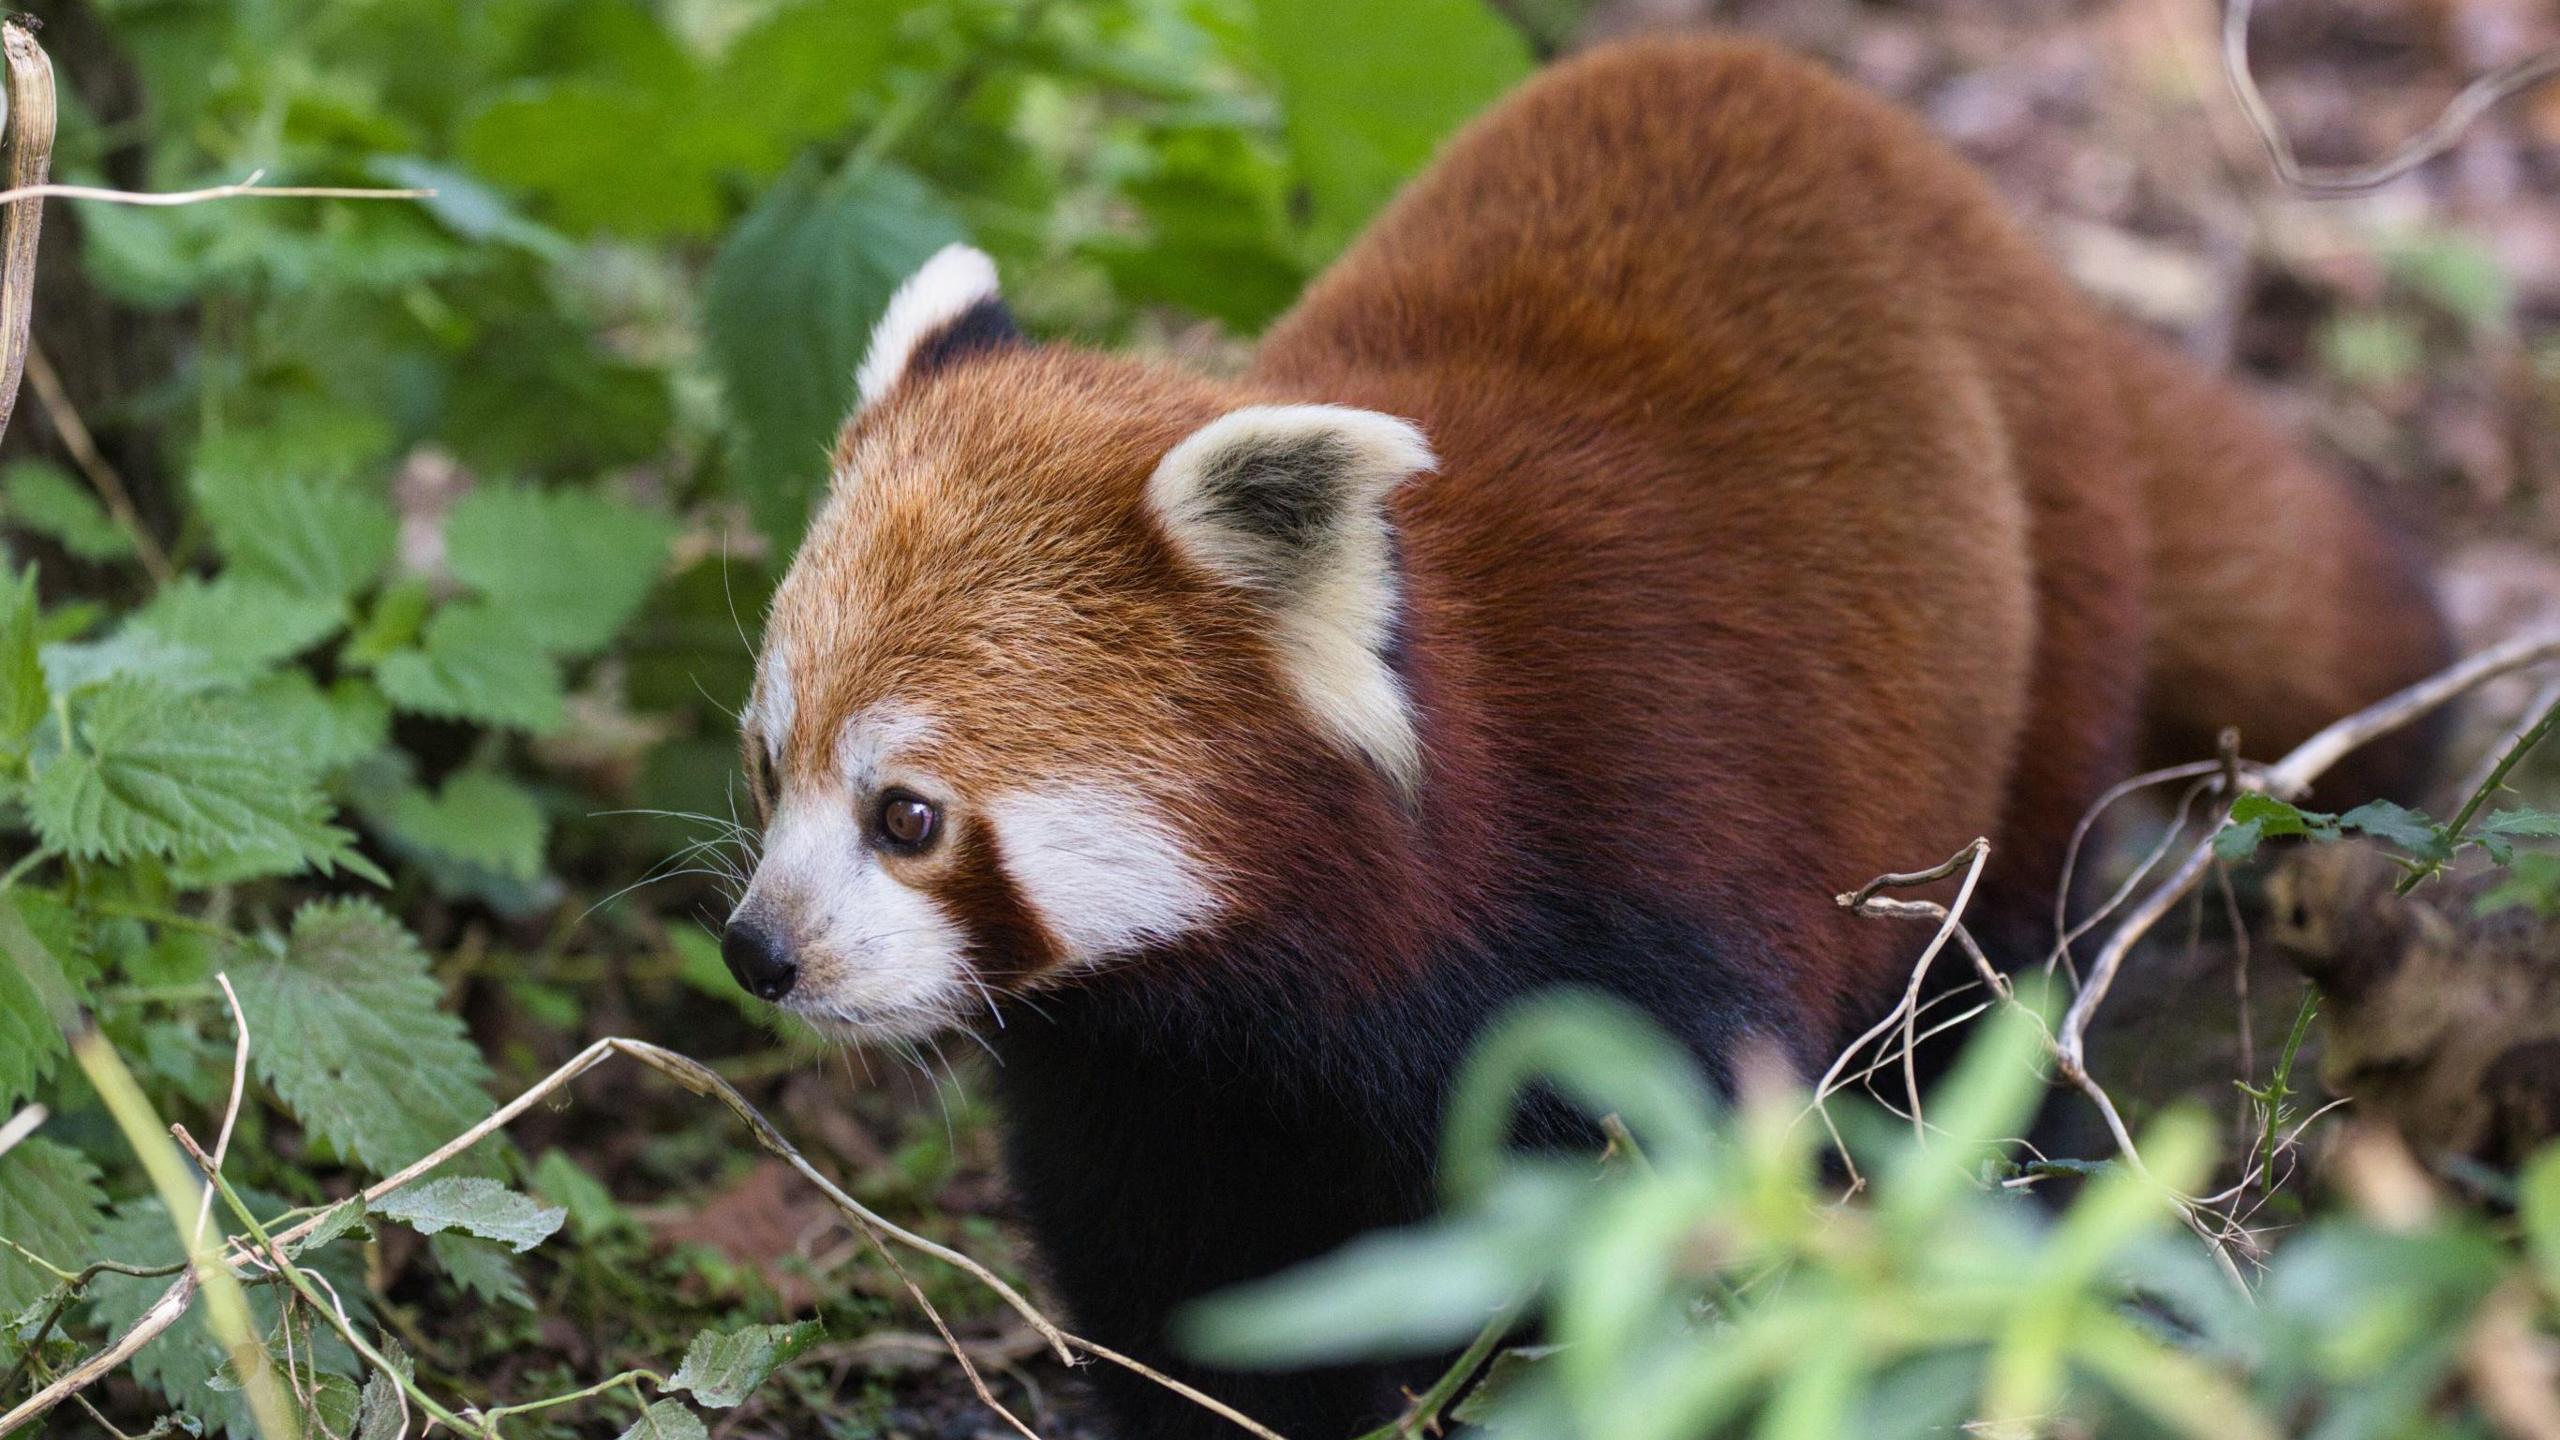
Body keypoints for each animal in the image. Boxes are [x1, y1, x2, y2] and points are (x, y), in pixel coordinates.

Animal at [732, 33, 2447, 1434]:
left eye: (908, 817)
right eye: (769, 764)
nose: (760, 953)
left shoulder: (1630, 880)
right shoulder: (1140, 1067)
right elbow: (1176, 1278)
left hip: (2038, 653)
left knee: (1990, 979)